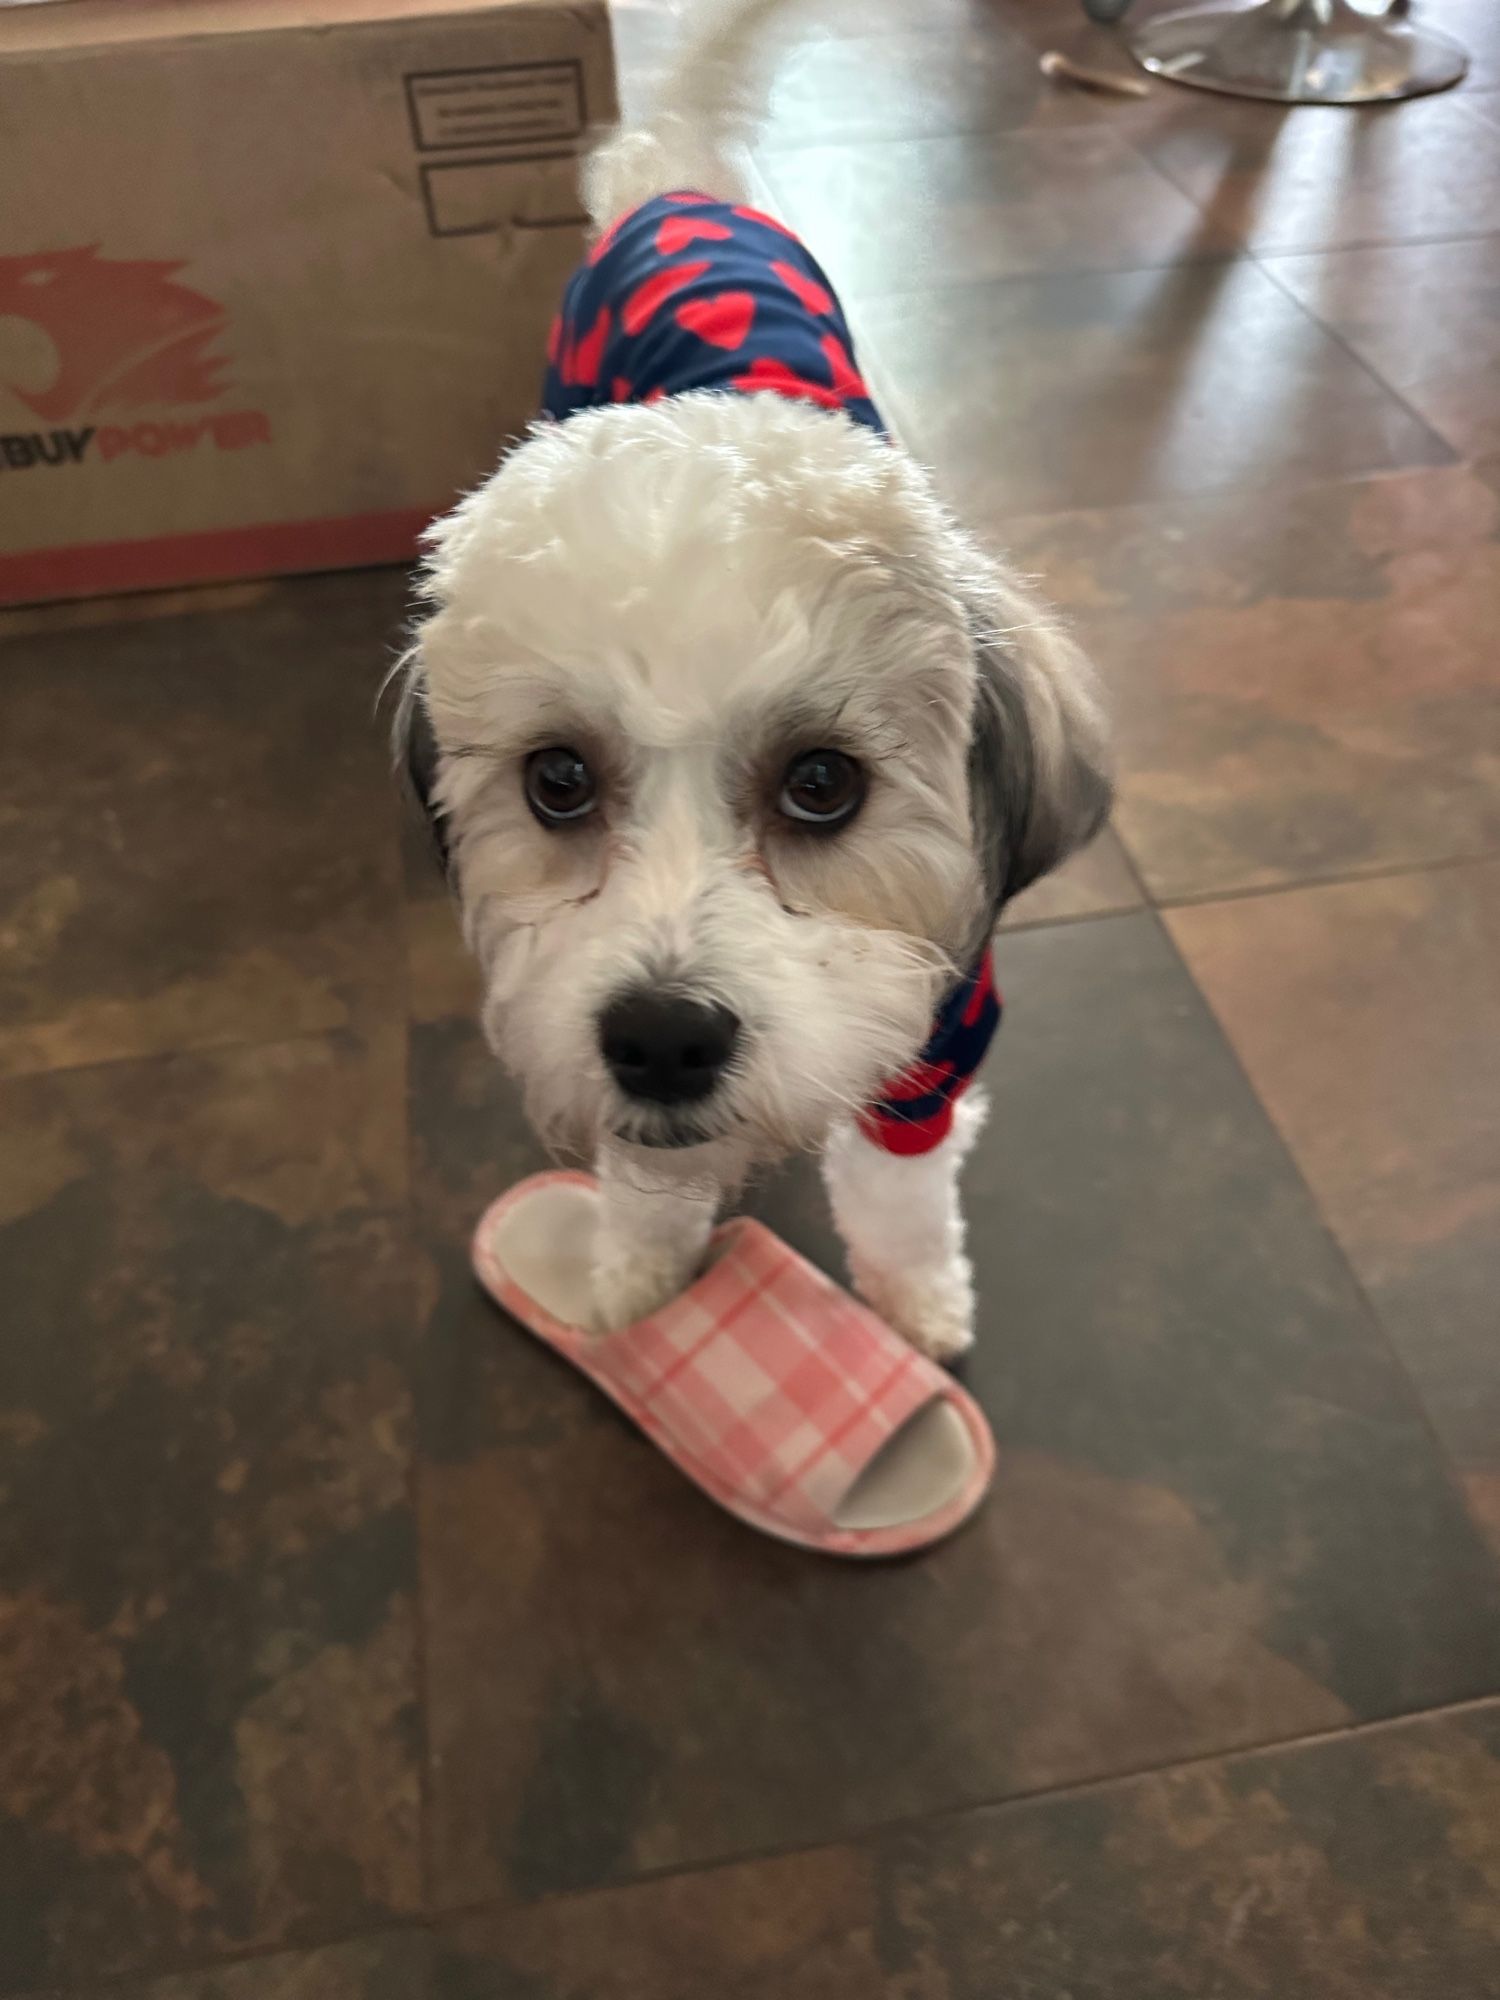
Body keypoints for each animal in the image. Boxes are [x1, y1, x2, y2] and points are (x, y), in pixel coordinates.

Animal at [396, 0, 1104, 1360]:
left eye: (824, 783)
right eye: (555, 780)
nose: (663, 1040)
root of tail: (675, 180)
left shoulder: (937, 1045)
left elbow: (898, 1190)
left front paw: (916, 1301)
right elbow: (646, 1185)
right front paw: (634, 1275)